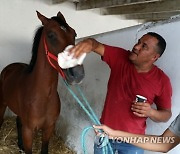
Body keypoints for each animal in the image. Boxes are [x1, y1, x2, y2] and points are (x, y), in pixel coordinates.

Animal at [0, 11, 84, 154]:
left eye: (74, 34)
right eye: (51, 35)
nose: (77, 73)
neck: (44, 96)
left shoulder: (48, 128)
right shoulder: (28, 131)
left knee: (18, 121)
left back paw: (20, 144)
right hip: (2, 104)